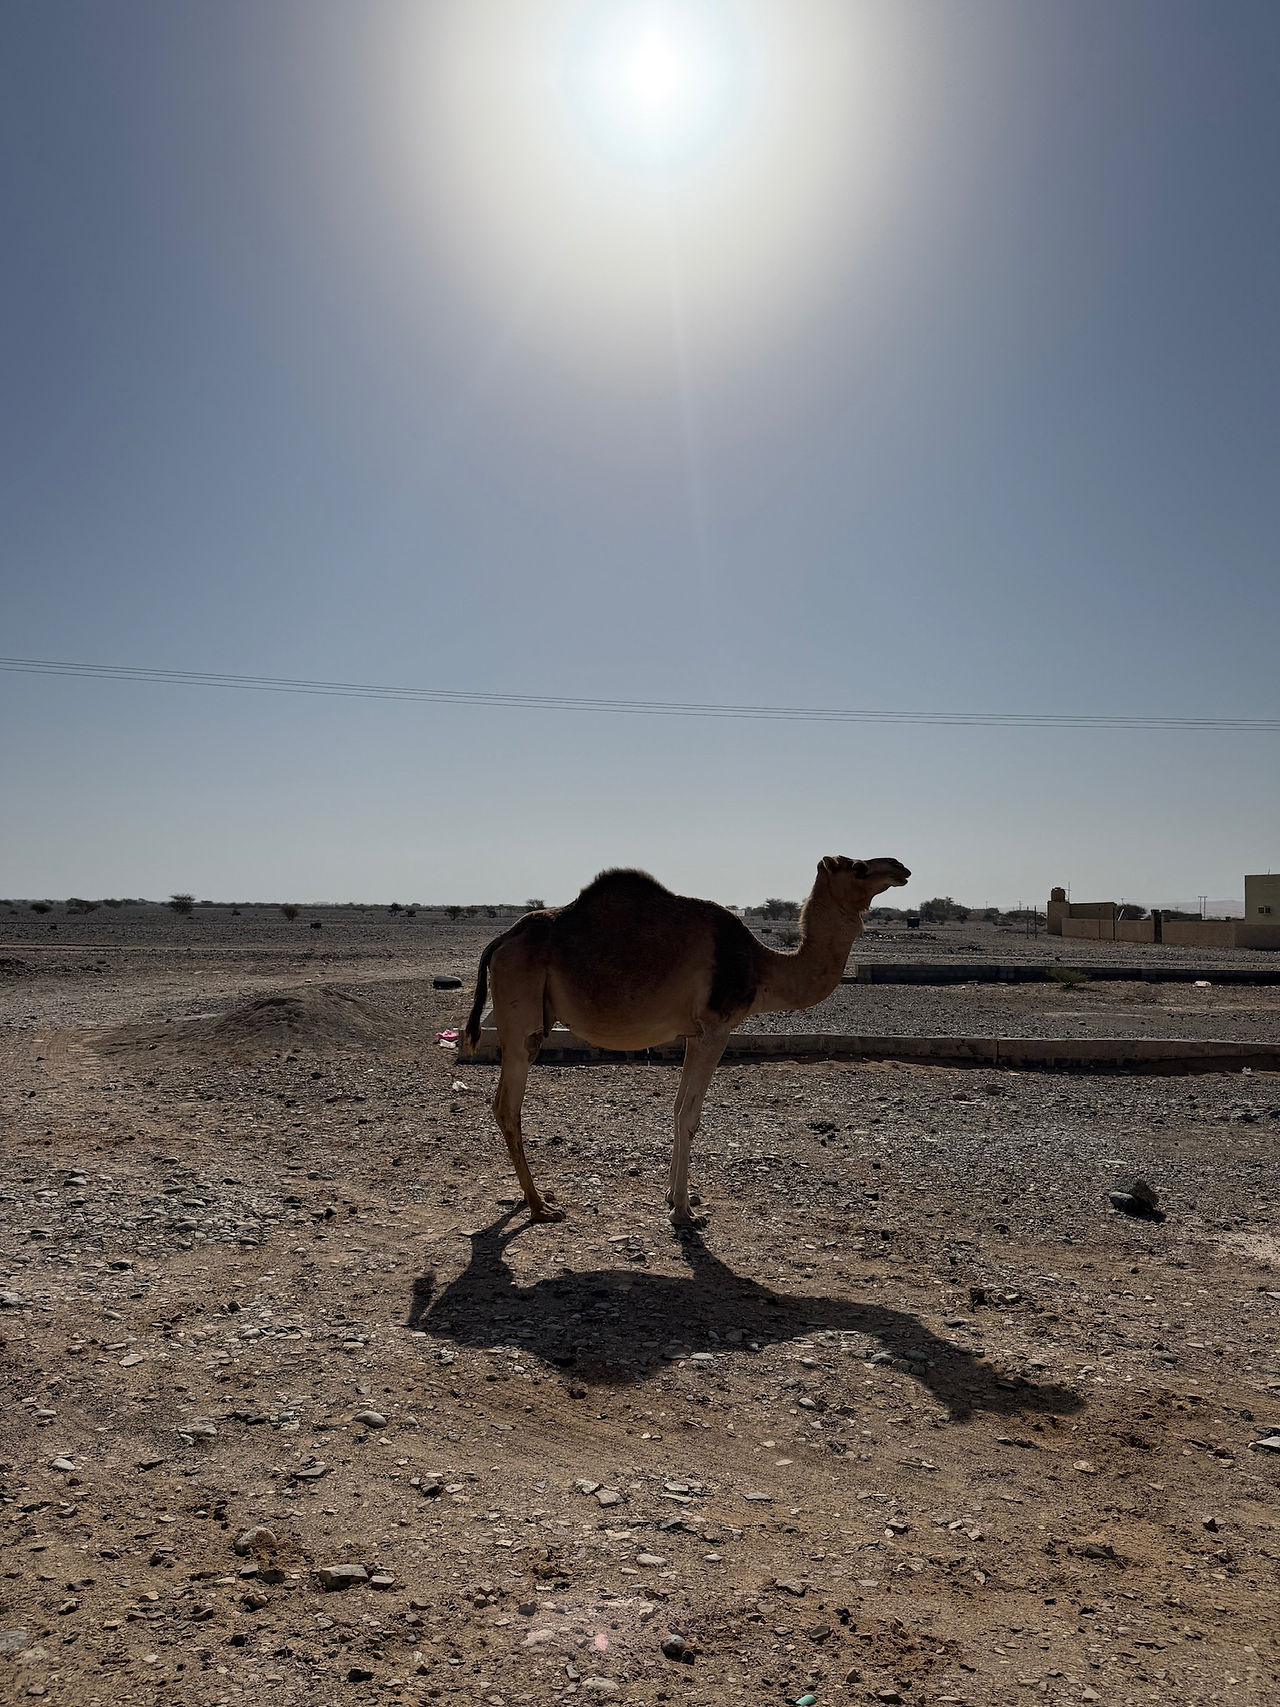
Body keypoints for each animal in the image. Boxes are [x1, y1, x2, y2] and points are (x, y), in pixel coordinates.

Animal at [461, 853, 910, 1225]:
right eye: (859, 868)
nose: (900, 868)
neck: (763, 967)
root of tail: (500, 941)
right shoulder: (717, 1029)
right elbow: (691, 1117)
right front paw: (683, 1212)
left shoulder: (695, 1034)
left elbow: (677, 1109)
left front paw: (675, 1197)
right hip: (523, 1018)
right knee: (507, 1106)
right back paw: (540, 1207)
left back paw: (532, 1200)